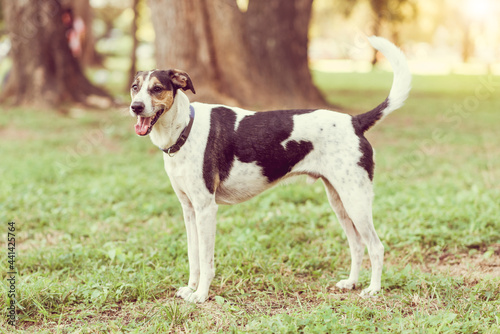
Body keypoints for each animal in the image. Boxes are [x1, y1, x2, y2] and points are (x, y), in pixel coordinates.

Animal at [131, 36, 412, 302]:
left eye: (157, 89)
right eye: (135, 88)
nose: (135, 107)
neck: (184, 128)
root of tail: (355, 121)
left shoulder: (206, 209)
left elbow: (206, 260)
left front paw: (200, 295)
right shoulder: (189, 210)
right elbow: (193, 256)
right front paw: (191, 288)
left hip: (356, 201)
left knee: (375, 247)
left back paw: (373, 289)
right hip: (340, 201)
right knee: (357, 244)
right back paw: (351, 283)